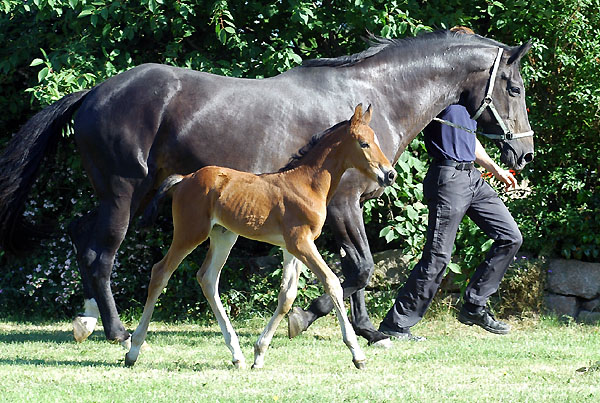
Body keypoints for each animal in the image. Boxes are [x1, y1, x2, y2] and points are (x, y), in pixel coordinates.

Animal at [126, 104, 396, 370]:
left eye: (376, 140)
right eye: (363, 143)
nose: (390, 174)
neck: (306, 184)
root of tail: (184, 179)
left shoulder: (291, 247)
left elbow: (287, 295)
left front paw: (259, 352)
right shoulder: (301, 243)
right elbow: (332, 283)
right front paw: (357, 354)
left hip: (224, 236)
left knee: (207, 278)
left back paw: (237, 355)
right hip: (190, 232)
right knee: (161, 272)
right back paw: (133, 349)